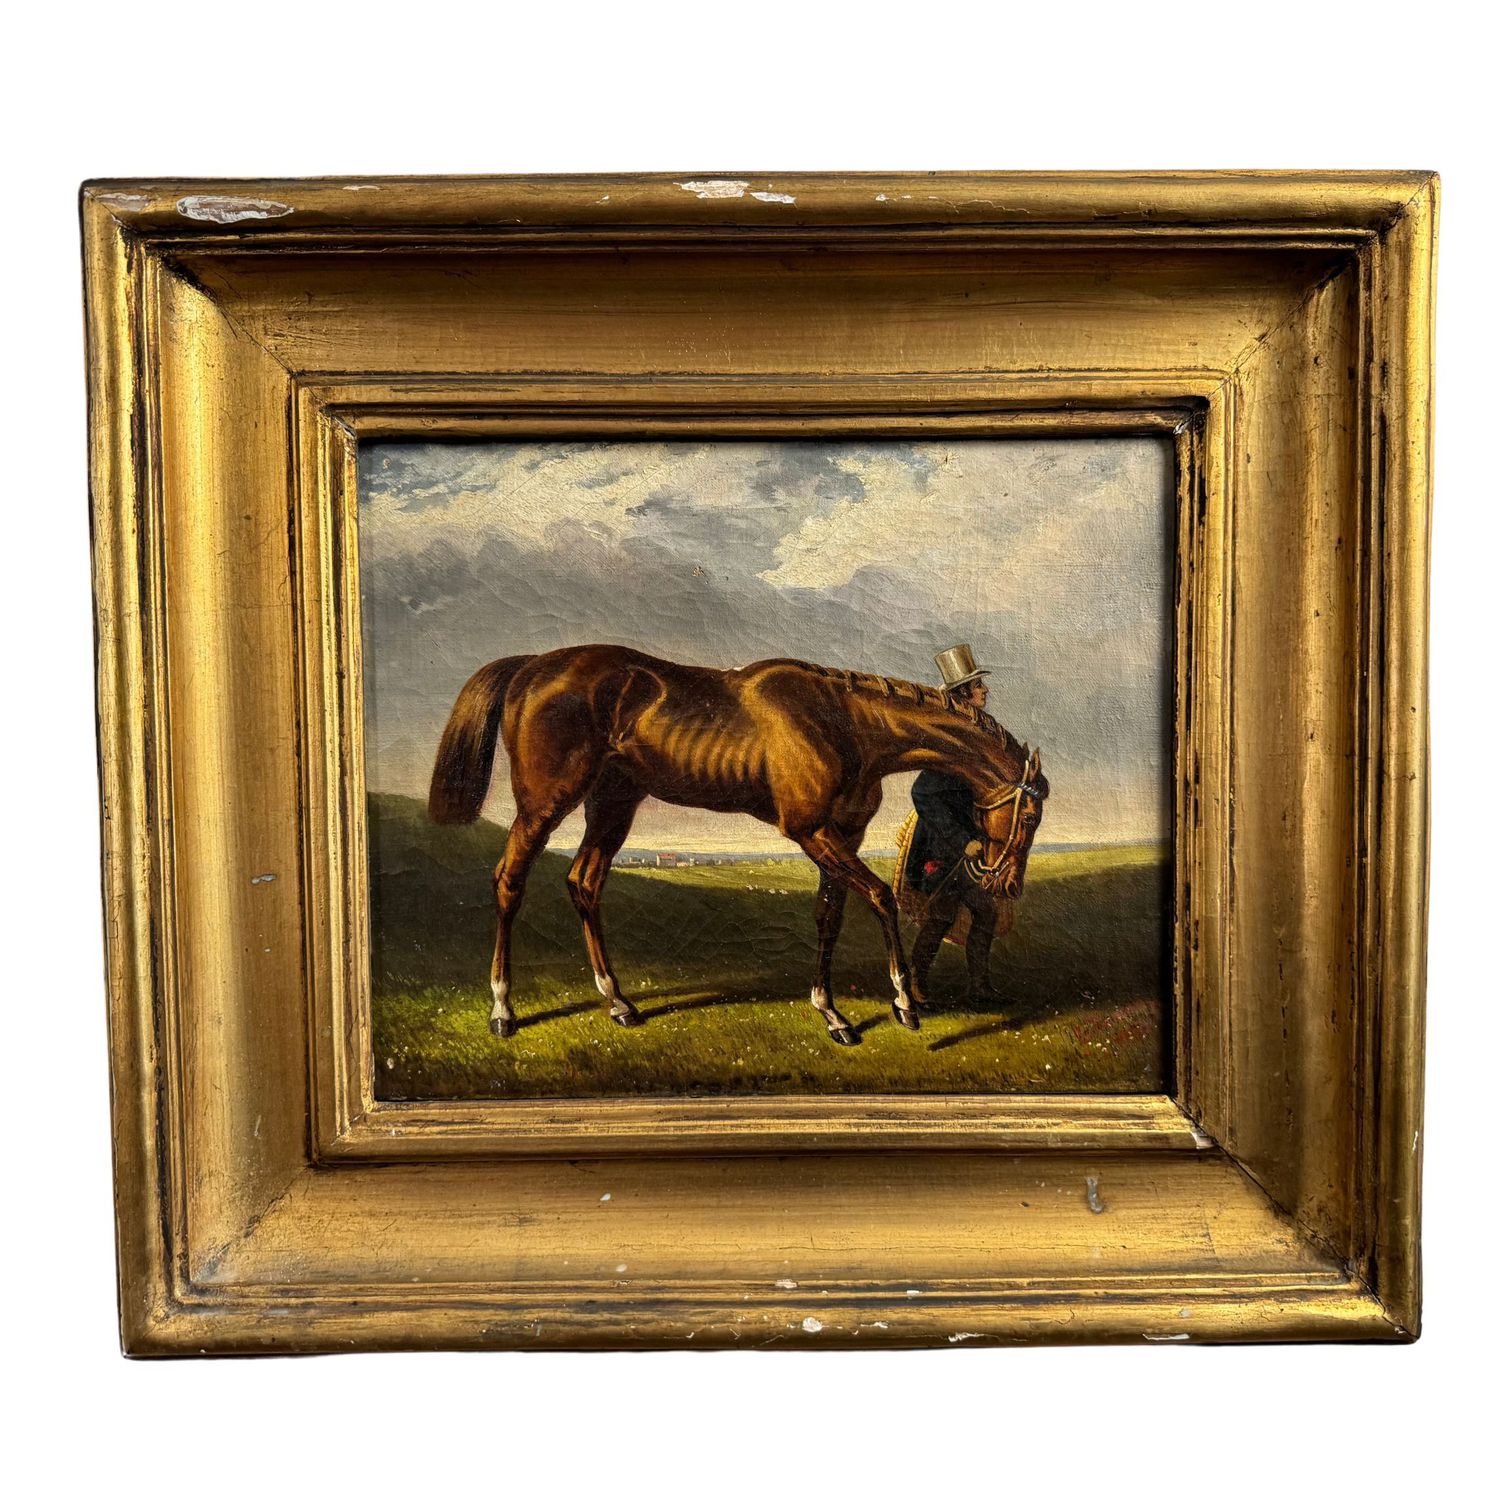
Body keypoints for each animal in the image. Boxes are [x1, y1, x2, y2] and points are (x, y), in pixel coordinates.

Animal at [428, 644, 1049, 1043]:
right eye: (1030, 813)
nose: (1007, 882)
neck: (846, 721)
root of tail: (532, 667)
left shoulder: (841, 834)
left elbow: (829, 915)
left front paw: (833, 1015)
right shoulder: (810, 831)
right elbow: (880, 896)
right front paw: (902, 1003)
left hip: (614, 801)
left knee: (584, 883)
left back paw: (619, 1003)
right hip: (544, 804)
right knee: (510, 881)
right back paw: (503, 1009)